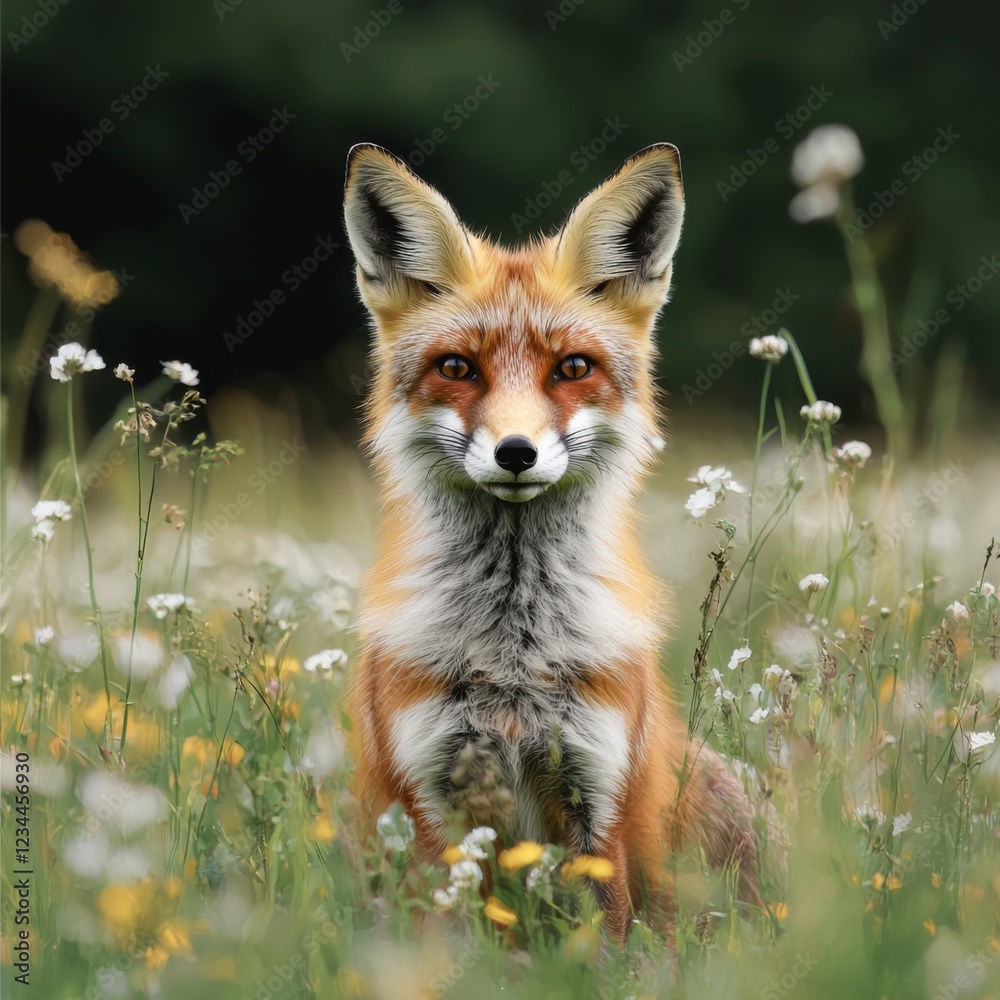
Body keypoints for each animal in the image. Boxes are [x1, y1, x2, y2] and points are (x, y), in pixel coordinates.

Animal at [342, 142, 762, 943]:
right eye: (457, 367)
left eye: (572, 368)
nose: (516, 452)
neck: (513, 656)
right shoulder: (431, 803)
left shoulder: (598, 793)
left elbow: (609, 944)